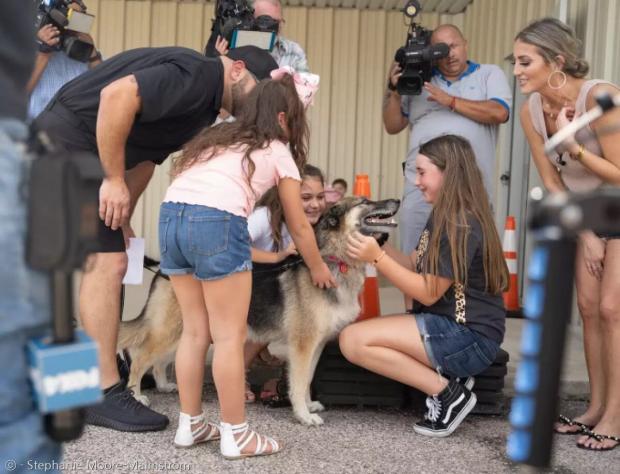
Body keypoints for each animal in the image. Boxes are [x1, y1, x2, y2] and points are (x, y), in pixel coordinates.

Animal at [118, 196, 400, 426]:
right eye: (364, 201)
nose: (397, 200)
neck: (334, 261)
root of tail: (164, 269)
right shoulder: (303, 346)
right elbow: (298, 382)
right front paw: (303, 415)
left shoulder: (317, 345)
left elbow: (308, 379)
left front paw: (308, 405)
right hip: (170, 330)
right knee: (140, 357)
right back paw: (136, 394)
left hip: (185, 332)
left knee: (159, 361)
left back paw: (164, 385)